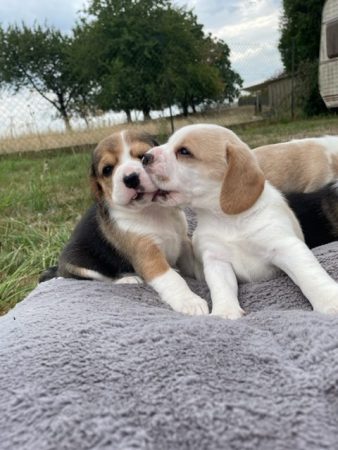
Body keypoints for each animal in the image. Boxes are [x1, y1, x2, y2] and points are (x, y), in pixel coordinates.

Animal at [40, 128, 209, 314]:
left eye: (143, 157)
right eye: (107, 169)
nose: (131, 178)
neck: (152, 209)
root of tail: (58, 269)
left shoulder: (182, 241)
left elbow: (195, 264)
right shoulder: (148, 255)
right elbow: (172, 279)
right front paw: (190, 302)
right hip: (78, 264)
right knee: (101, 279)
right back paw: (127, 279)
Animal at [143, 124, 338, 320]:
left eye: (184, 151)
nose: (145, 157)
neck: (228, 219)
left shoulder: (286, 247)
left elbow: (310, 275)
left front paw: (330, 301)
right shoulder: (217, 260)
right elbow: (221, 287)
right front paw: (225, 312)